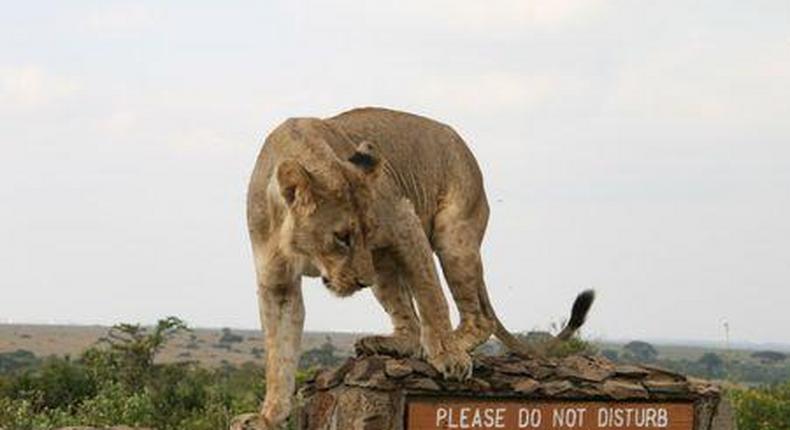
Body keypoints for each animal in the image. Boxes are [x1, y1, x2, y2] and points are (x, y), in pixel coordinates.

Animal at [248, 106, 592, 426]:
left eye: (368, 232)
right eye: (342, 237)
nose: (362, 281)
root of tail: (465, 150)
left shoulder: (403, 220)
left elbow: (431, 296)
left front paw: (448, 355)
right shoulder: (276, 284)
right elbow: (279, 353)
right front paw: (270, 416)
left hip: (453, 237)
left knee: (479, 320)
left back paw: (451, 345)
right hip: (384, 265)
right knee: (410, 325)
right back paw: (391, 343)